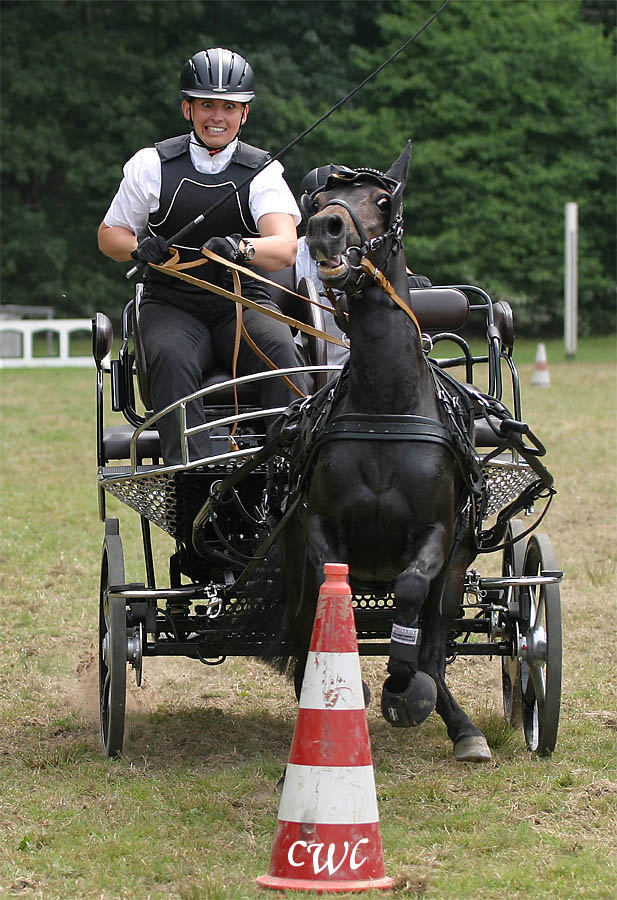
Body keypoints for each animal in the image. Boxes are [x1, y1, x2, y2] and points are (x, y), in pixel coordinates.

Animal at [280, 146, 490, 760]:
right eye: (320, 201)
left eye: (381, 200)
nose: (325, 229)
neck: (385, 407)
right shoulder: (321, 528)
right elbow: (332, 602)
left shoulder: (438, 533)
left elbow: (412, 592)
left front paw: (404, 688)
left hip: (459, 566)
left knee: (438, 637)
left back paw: (461, 724)